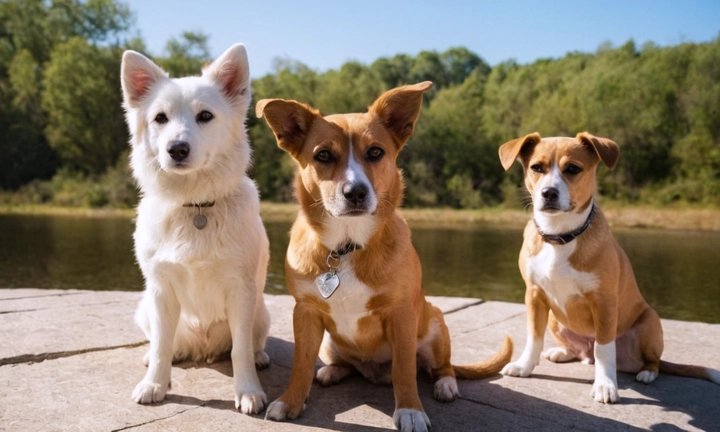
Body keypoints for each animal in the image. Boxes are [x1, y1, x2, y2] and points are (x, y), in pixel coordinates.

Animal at [121, 44, 272, 416]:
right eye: (160, 118)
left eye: (205, 116)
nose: (177, 149)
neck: (196, 208)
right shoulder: (161, 290)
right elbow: (162, 346)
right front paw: (155, 385)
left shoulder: (241, 291)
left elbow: (240, 351)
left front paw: (248, 391)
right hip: (145, 307)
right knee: (161, 343)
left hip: (261, 310)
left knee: (252, 343)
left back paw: (261, 356)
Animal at [256, 82, 510, 432]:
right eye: (323, 155)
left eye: (376, 152)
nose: (356, 193)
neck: (346, 247)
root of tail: (373, 372)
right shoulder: (305, 313)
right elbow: (301, 365)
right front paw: (291, 402)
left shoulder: (401, 314)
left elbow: (404, 370)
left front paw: (410, 411)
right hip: (330, 342)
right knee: (345, 364)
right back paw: (332, 371)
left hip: (436, 322)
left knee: (440, 367)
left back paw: (446, 385)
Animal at [500, 132, 720, 402]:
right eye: (536, 167)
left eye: (573, 168)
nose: (548, 193)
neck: (560, 235)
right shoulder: (534, 295)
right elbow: (534, 336)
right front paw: (524, 366)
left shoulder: (603, 302)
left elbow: (604, 349)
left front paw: (605, 385)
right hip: (554, 318)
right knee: (583, 351)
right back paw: (563, 352)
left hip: (650, 322)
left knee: (649, 360)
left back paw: (647, 373)